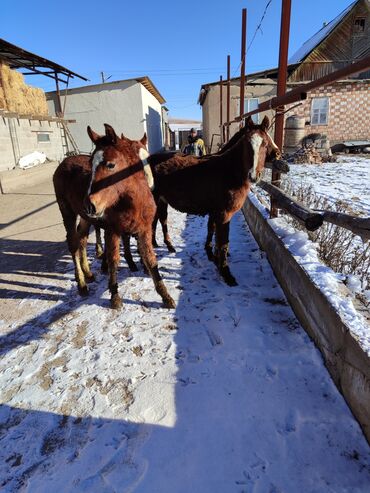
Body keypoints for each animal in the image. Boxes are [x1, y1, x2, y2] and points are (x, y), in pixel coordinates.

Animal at [52, 124, 176, 308]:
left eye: (110, 164)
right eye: (91, 164)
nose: (90, 204)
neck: (133, 202)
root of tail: (63, 163)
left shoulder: (144, 229)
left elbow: (151, 259)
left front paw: (165, 296)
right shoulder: (113, 230)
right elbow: (113, 259)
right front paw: (115, 295)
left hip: (85, 217)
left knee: (82, 239)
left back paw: (88, 274)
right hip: (67, 211)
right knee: (73, 243)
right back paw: (81, 284)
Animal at [149, 115, 278, 284]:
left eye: (265, 143)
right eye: (246, 144)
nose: (278, 152)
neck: (228, 171)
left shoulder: (214, 212)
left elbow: (213, 231)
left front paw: (212, 255)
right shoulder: (223, 214)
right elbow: (223, 242)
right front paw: (225, 273)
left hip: (161, 200)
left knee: (160, 220)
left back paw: (162, 244)